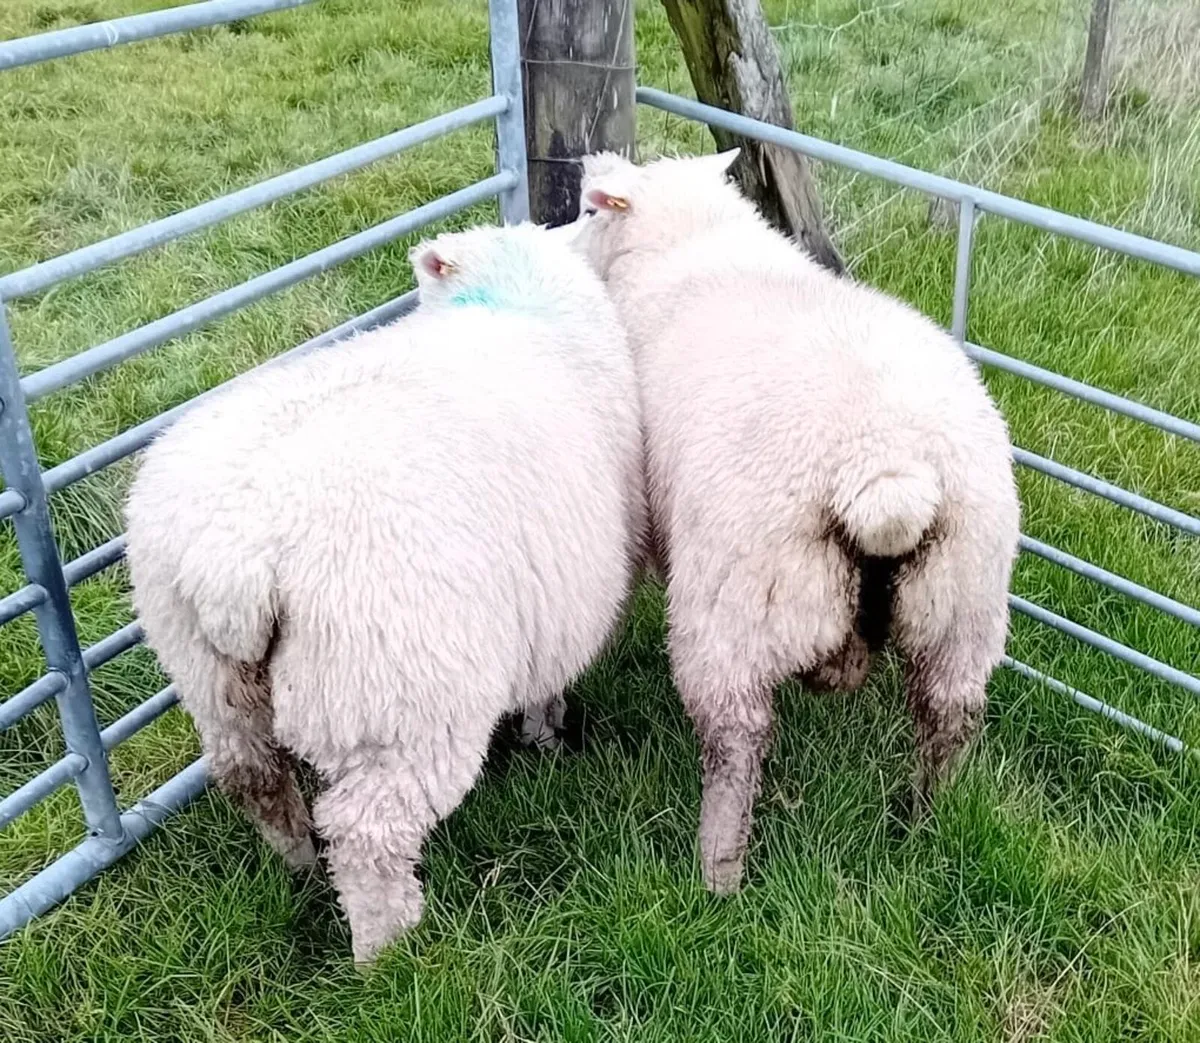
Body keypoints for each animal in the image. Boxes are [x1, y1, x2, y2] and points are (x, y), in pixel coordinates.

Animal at [124, 222, 647, 963]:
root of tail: (236, 555)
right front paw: (547, 739)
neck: (511, 300)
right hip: (399, 700)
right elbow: (549, 685)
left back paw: (301, 870)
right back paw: (388, 951)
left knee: (254, 781)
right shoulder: (562, 604)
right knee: (367, 833)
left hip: (210, 679)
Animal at [566, 149, 1020, 895]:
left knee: (737, 739)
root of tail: (886, 467)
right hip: (964, 605)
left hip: (735, 609)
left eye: (586, 209)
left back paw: (718, 871)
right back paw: (921, 818)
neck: (692, 242)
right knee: (948, 717)